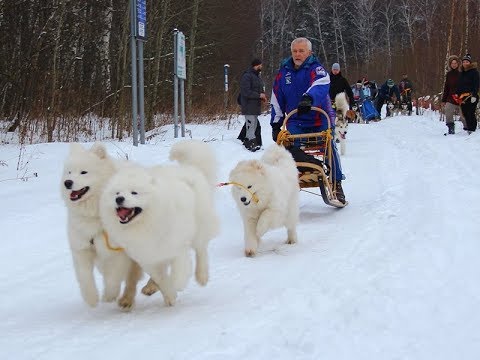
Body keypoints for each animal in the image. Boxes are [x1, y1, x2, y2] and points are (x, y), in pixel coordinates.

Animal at [61, 143, 142, 310]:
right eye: (69, 172)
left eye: (84, 172)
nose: (67, 182)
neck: (96, 213)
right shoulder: (82, 248)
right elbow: (84, 276)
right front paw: (91, 299)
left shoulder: (118, 253)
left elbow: (113, 278)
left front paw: (109, 296)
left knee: (131, 279)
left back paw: (126, 300)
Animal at [100, 140, 219, 306]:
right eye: (117, 193)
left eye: (134, 193)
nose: (119, 199)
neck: (147, 224)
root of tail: (189, 168)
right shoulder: (148, 257)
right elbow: (161, 278)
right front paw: (169, 295)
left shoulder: (176, 247)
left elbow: (179, 272)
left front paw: (177, 286)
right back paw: (150, 287)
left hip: (199, 225)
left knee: (201, 249)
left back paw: (202, 276)